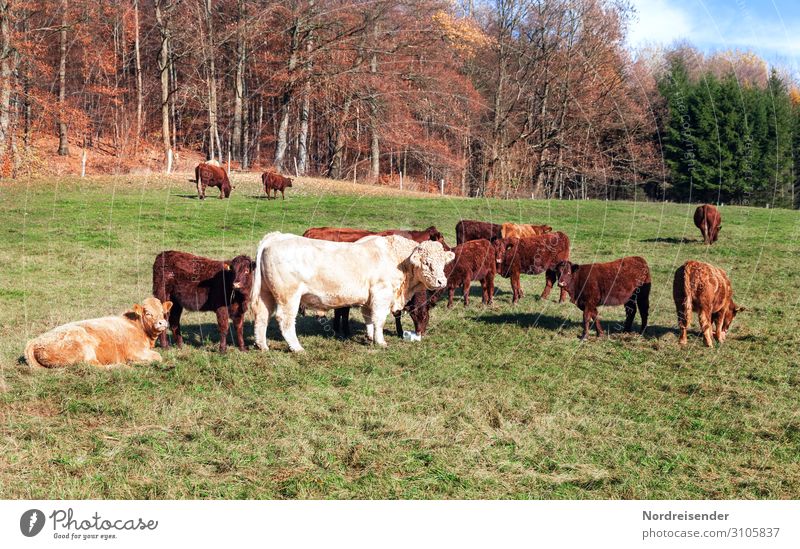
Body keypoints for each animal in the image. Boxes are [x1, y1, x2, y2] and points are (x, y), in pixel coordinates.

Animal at [24, 296, 172, 368]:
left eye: (162, 312)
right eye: (148, 313)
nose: (162, 323)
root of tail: (34, 341)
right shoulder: (135, 351)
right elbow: (158, 357)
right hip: (84, 347)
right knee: (93, 366)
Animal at [250, 231, 454, 352]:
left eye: (443, 263)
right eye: (427, 263)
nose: (442, 281)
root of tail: (276, 236)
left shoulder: (368, 298)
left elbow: (369, 319)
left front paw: (370, 337)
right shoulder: (381, 294)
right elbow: (379, 319)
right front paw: (380, 341)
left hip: (266, 293)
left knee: (261, 317)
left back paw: (263, 345)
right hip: (288, 296)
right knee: (285, 321)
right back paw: (297, 347)